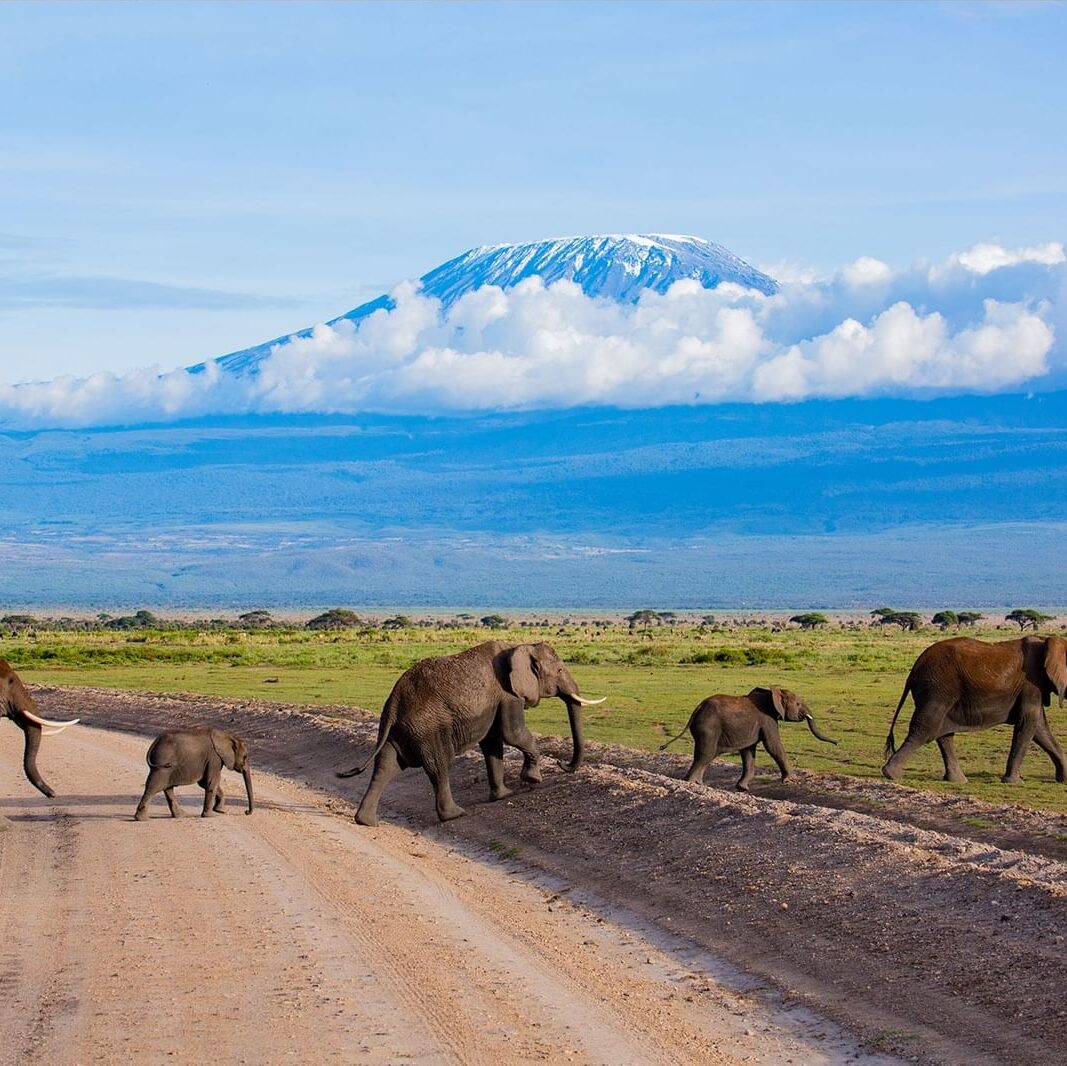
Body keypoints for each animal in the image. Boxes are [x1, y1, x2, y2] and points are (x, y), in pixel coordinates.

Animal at [341, 635, 610, 828]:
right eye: (560, 671)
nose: (562, 764)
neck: (519, 646)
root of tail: (395, 700)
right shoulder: (508, 695)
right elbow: (513, 734)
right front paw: (533, 780)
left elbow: (493, 744)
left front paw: (504, 794)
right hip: (427, 727)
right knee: (440, 766)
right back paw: (456, 814)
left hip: (401, 728)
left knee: (386, 766)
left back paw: (367, 821)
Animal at [657, 682, 832, 793]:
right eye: (797, 704)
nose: (835, 742)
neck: (771, 693)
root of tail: (697, 709)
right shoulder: (767, 720)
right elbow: (773, 746)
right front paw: (791, 780)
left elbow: (748, 752)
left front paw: (741, 788)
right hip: (708, 729)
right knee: (705, 755)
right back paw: (691, 783)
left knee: (706, 756)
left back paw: (699, 784)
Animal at [883, 631, 1067, 785]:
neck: (1047, 641)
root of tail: (914, 668)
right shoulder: (1031, 684)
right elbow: (1028, 723)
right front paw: (1014, 783)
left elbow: (1040, 728)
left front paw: (1064, 779)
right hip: (937, 688)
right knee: (926, 727)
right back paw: (891, 774)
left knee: (942, 732)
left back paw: (957, 781)